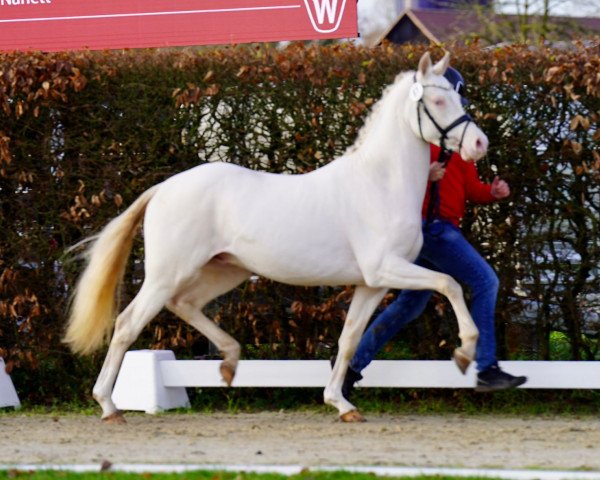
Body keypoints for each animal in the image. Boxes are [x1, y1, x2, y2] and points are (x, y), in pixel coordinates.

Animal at [64, 50, 488, 422]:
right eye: (438, 99)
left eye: (457, 97)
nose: (479, 144)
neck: (380, 183)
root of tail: (163, 188)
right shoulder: (385, 268)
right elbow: (449, 283)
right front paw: (465, 352)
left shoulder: (372, 283)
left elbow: (349, 339)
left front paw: (341, 404)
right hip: (166, 274)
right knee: (127, 324)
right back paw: (109, 406)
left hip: (225, 270)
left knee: (185, 304)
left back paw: (230, 361)